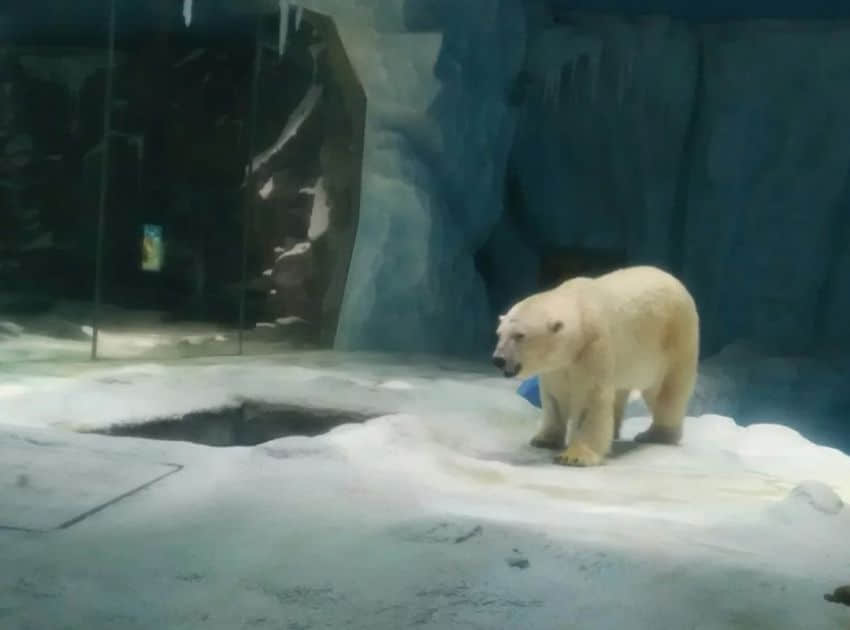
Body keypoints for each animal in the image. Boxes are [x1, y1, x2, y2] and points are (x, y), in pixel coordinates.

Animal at [491, 265, 699, 467]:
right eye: (499, 334)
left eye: (519, 335)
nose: (498, 359)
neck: (579, 308)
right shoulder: (558, 365)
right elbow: (555, 397)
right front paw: (544, 439)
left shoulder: (593, 346)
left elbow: (589, 398)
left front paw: (574, 457)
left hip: (674, 340)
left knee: (666, 391)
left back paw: (656, 434)